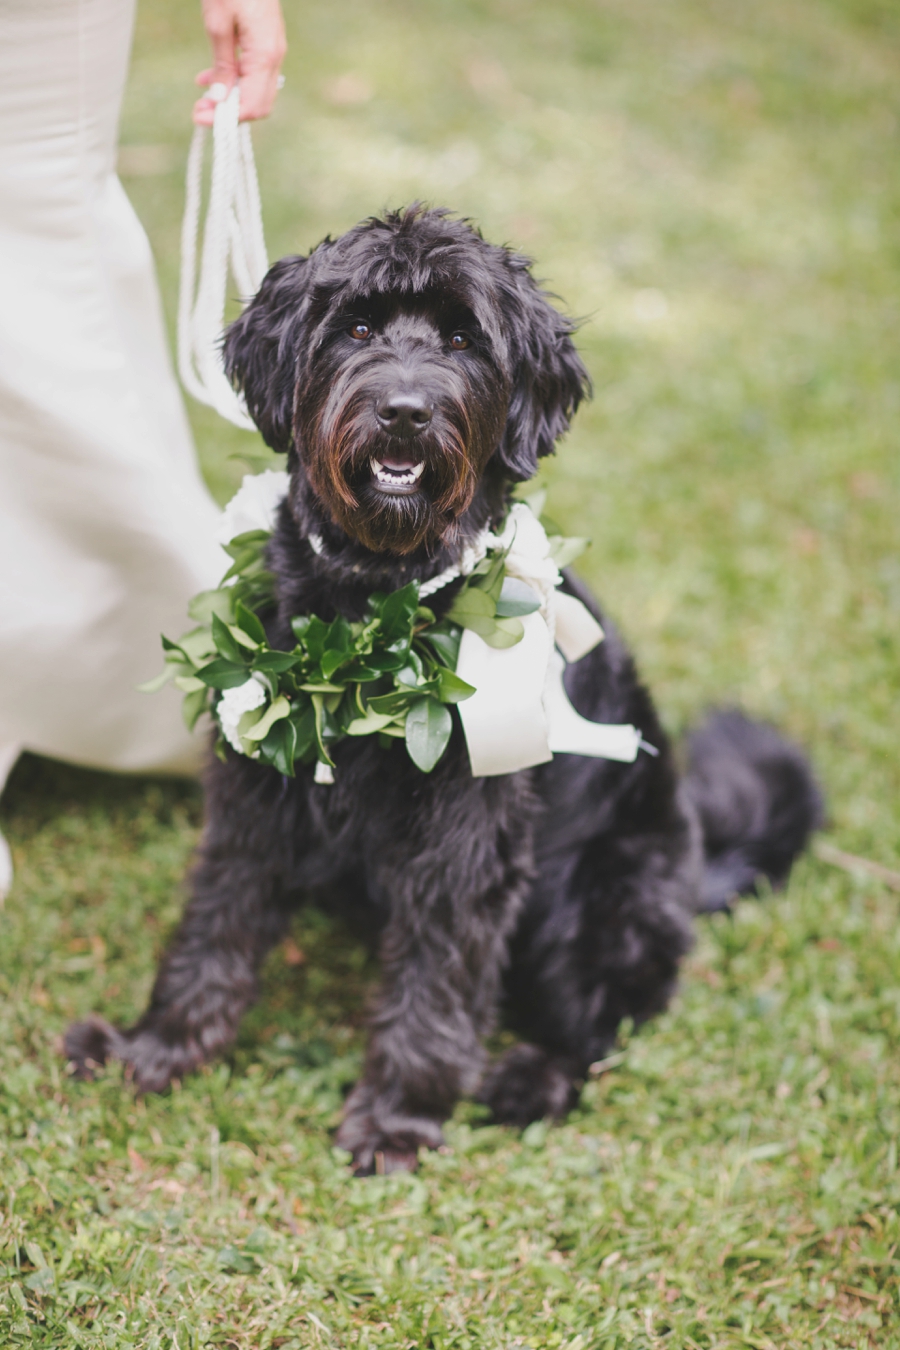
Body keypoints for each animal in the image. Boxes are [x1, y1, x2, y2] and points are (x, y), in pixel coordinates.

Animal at [65, 205, 825, 1177]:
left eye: (464, 340)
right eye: (355, 327)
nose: (405, 412)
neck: (372, 605)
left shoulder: (468, 839)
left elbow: (439, 982)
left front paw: (398, 1117)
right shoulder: (257, 793)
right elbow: (216, 925)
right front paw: (157, 1047)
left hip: (600, 904)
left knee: (597, 1028)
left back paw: (529, 1080)